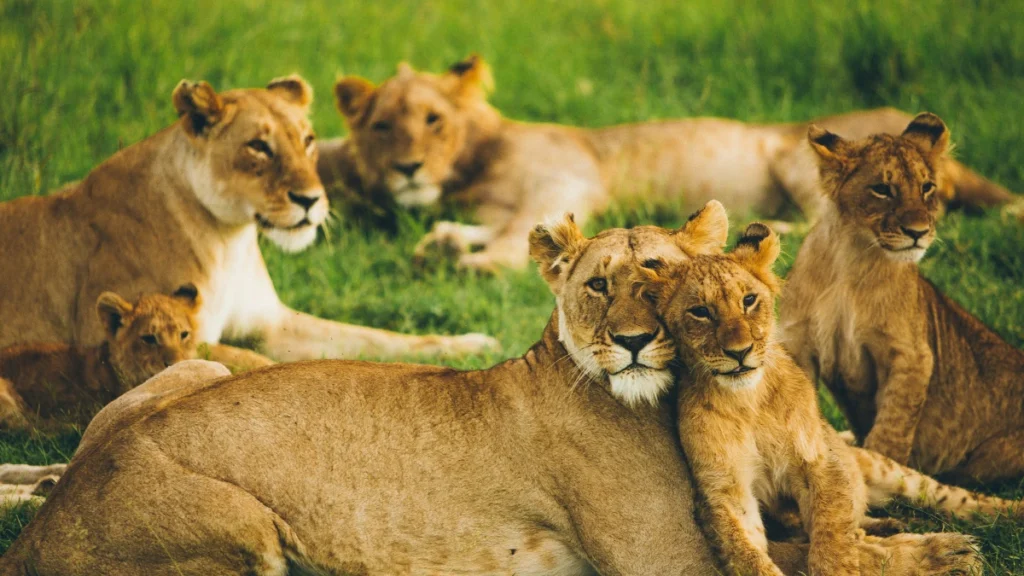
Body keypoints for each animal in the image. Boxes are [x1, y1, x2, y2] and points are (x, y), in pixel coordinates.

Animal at [0, 75, 497, 362]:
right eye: (258, 146)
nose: (311, 200)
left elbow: (377, 337)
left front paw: (472, 344)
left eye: (308, 140)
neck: (228, 240)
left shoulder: (271, 324)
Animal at [0, 206, 978, 575]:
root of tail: (45, 531)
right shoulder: (663, 561)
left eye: (659, 278)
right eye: (599, 285)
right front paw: (943, 553)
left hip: (195, 367)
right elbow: (806, 558)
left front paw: (924, 535)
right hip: (244, 525)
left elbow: (825, 531)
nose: (632, 341)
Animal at [318, 54, 1014, 271]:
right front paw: (442, 242)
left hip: (796, 156)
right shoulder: (497, 204)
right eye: (382, 126)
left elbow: (519, 235)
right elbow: (488, 227)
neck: (473, 165)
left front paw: (476, 262)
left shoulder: (566, 180)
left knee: (825, 221)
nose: (407, 168)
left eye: (433, 120)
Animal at [645, 221, 1019, 576]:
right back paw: (891, 527)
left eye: (749, 300)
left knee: (952, 496)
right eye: (700, 311)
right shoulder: (726, 492)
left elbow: (832, 536)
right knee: (863, 524)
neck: (746, 401)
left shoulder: (821, 461)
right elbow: (746, 553)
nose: (740, 352)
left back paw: (1010, 514)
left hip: (887, 469)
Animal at [779, 112, 1024, 483]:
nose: (918, 232)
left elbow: (892, 428)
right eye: (882, 189)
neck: (851, 260)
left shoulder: (911, 354)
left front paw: (881, 474)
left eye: (927, 187)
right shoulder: (798, 344)